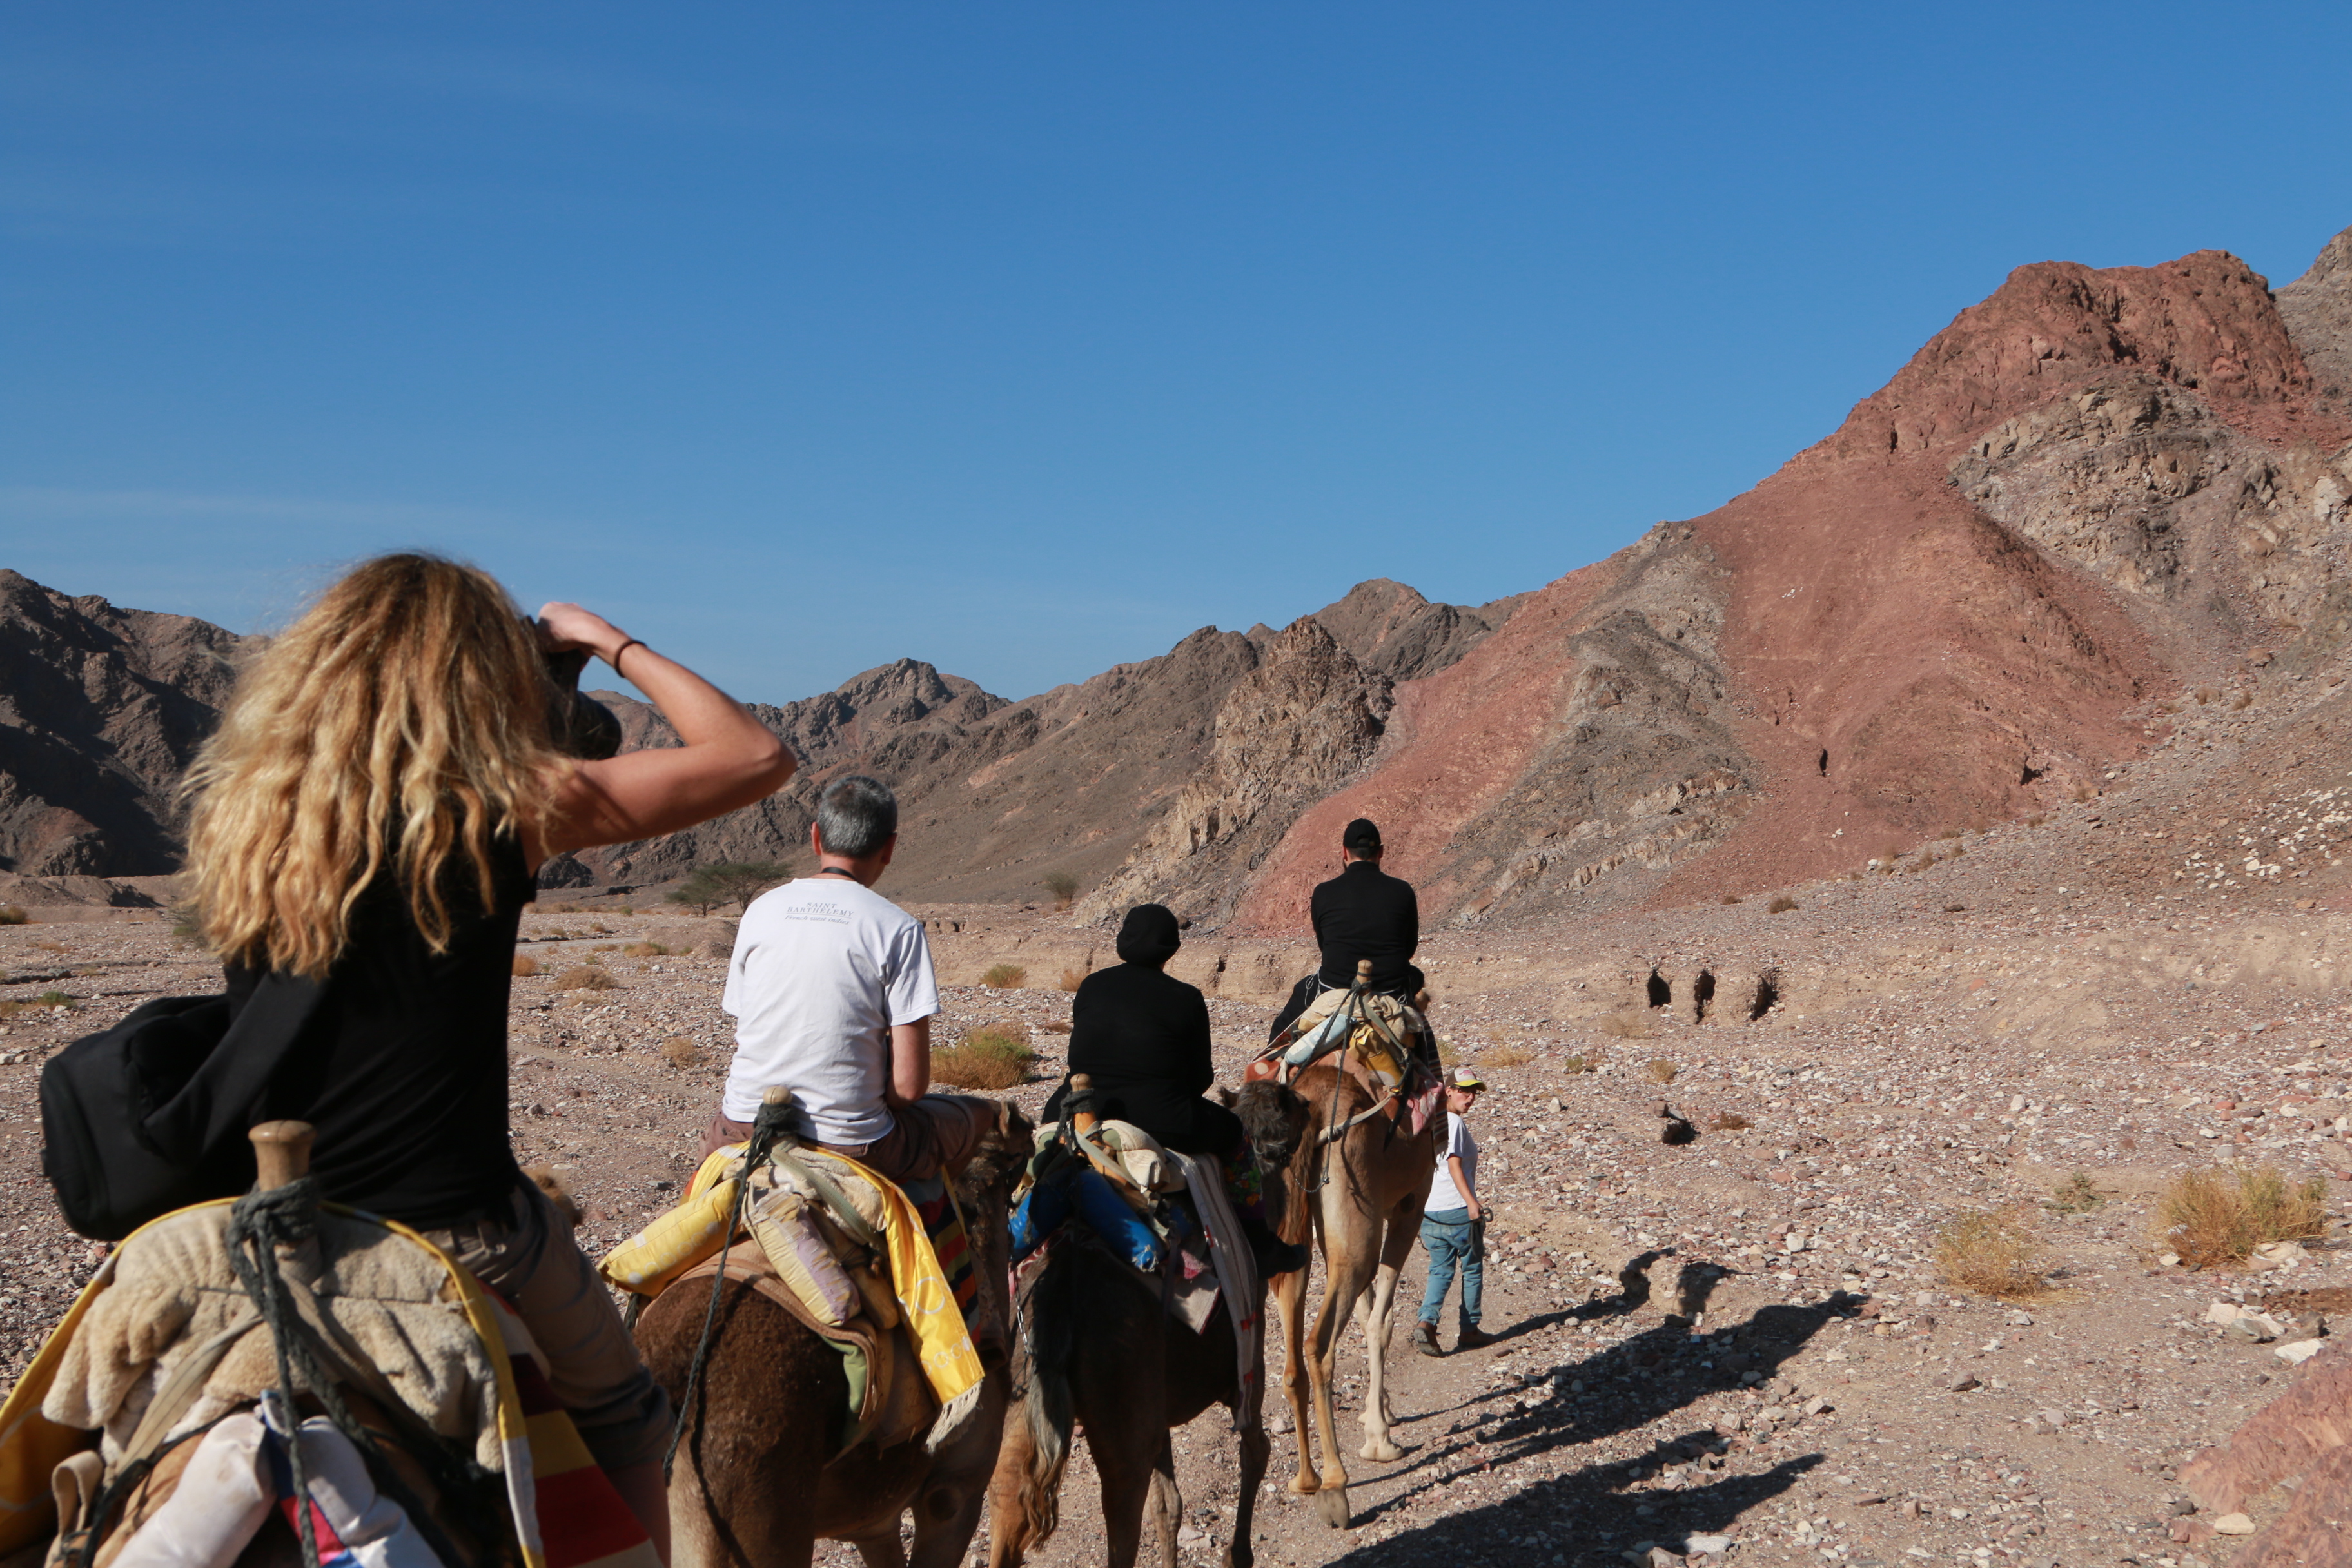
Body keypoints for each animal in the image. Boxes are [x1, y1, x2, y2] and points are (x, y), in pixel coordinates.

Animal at [985, 1082, 1309, 1568]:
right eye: (1289, 1105)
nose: (1308, 1104)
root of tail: (1062, 1282)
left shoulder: (1156, 1406)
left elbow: (1168, 1506)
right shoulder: (1245, 1356)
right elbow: (1255, 1451)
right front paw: (1239, 1554)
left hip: (1022, 1390)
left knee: (1008, 1496)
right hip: (1123, 1399)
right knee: (1122, 1510)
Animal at [1269, 1060, 1438, 1529]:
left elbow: (1367, 1317)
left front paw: (1378, 1411)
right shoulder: (1410, 1202)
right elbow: (1381, 1321)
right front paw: (1380, 1438)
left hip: (1298, 1231)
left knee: (1293, 1361)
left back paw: (1306, 1480)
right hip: (1358, 1214)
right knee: (1319, 1343)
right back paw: (1334, 1488)